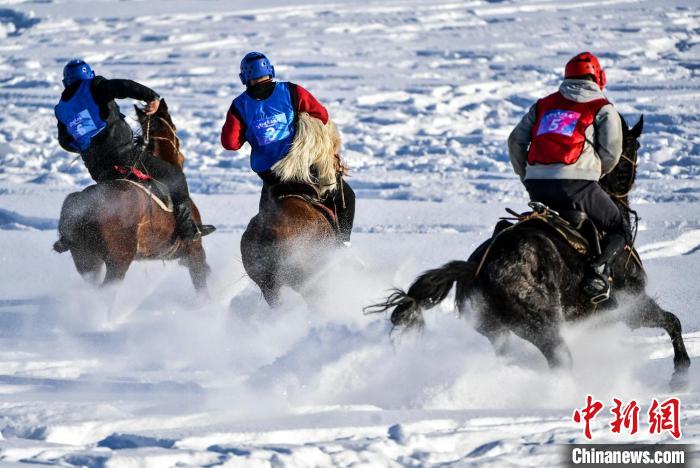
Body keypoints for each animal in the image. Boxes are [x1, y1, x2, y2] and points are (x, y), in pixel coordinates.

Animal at [370, 116, 692, 388]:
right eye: (635, 146)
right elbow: (673, 321)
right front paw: (681, 373)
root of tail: (475, 269)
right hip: (543, 327)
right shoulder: (633, 305)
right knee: (560, 361)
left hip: (498, 331)